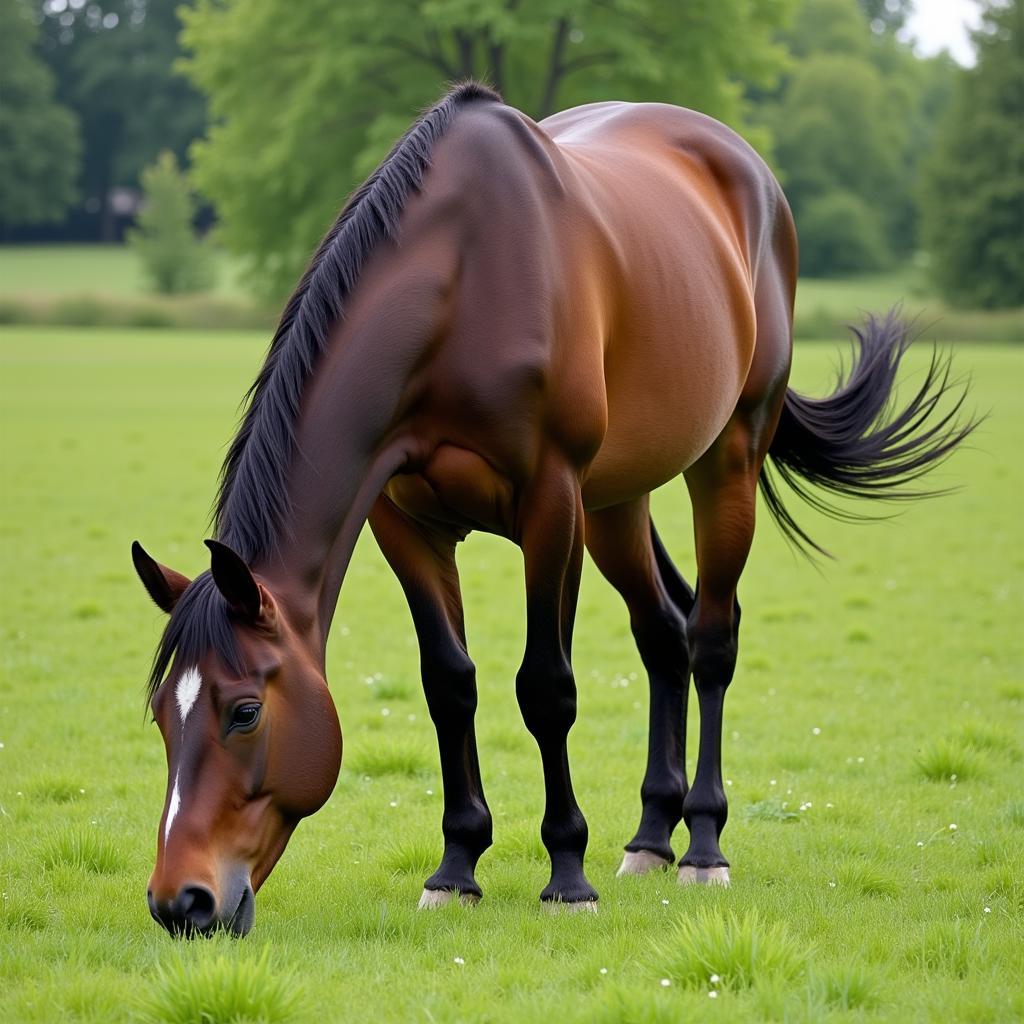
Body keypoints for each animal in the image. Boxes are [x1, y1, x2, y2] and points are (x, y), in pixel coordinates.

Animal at [132, 81, 970, 937]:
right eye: (163, 714)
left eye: (242, 711)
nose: (181, 901)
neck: (458, 283)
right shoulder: (406, 523)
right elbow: (449, 684)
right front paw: (457, 867)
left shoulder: (551, 506)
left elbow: (546, 687)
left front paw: (567, 873)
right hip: (618, 502)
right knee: (662, 631)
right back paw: (650, 838)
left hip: (725, 459)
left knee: (710, 637)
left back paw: (702, 846)